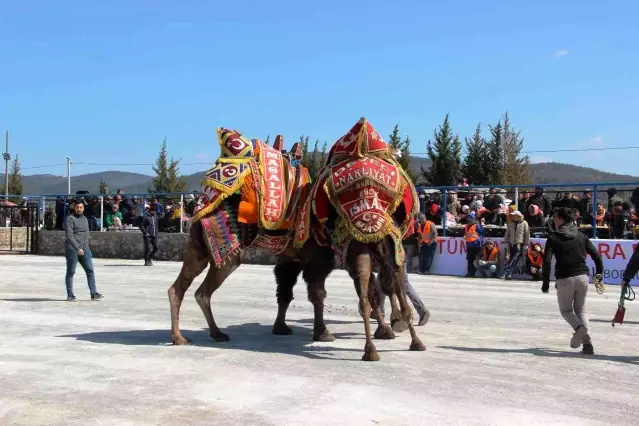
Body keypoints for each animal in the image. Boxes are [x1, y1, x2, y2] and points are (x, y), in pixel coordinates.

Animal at [170, 130, 340, 346]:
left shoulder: (291, 258)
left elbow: (284, 292)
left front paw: (281, 328)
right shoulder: (316, 257)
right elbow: (317, 294)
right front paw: (323, 333)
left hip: (198, 249)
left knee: (182, 289)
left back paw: (194, 335)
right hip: (225, 253)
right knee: (202, 291)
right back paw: (195, 335)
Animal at [308, 117, 424, 360]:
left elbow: (378, 291)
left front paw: (389, 327)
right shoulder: (394, 253)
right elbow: (390, 290)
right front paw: (395, 325)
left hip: (359, 251)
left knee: (365, 297)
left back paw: (374, 349)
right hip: (375, 251)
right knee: (383, 291)